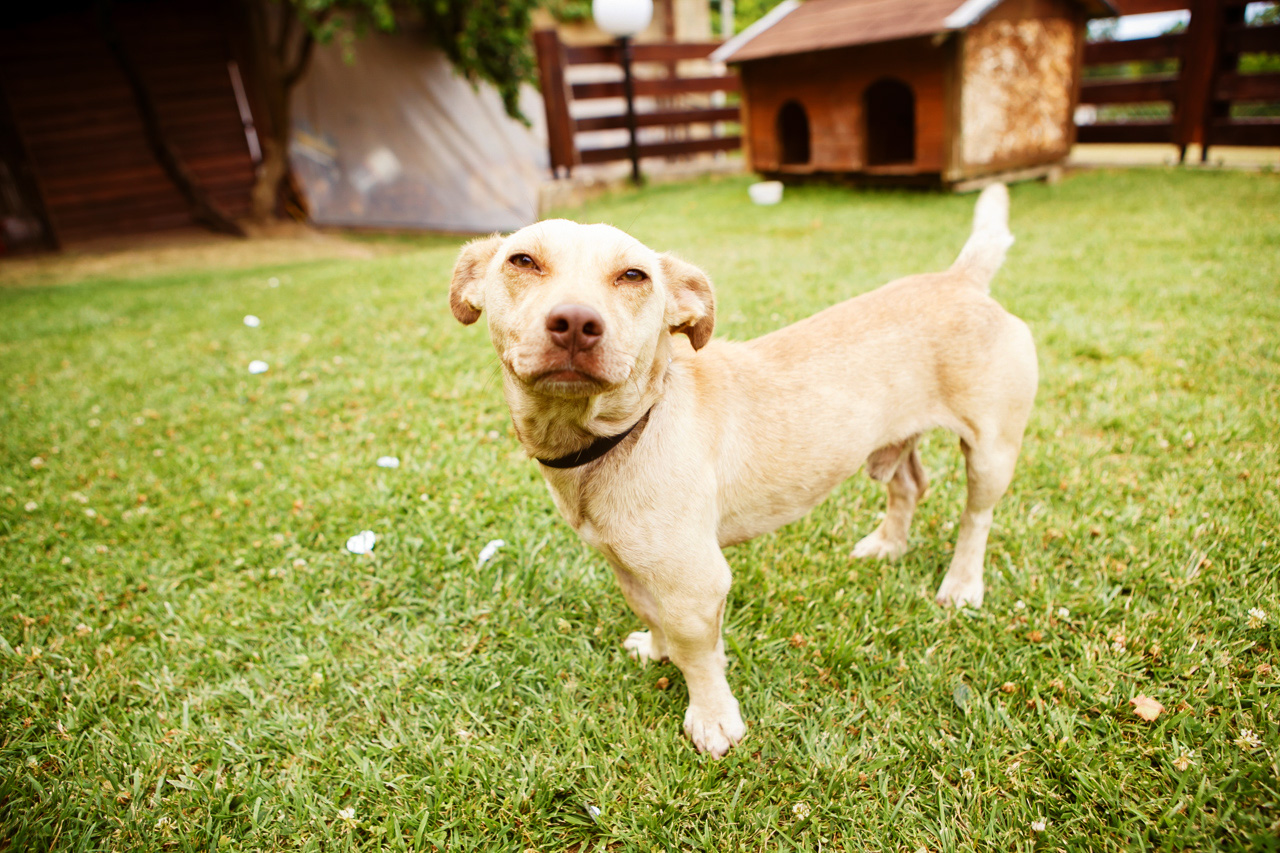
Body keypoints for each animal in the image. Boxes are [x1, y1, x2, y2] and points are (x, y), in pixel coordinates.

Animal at [450, 183, 1039, 753]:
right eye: (523, 261)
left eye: (634, 275)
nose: (575, 321)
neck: (626, 432)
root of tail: (960, 280)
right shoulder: (629, 566)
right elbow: (652, 614)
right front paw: (656, 649)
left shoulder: (695, 582)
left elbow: (697, 652)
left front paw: (712, 718)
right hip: (889, 442)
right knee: (910, 485)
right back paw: (888, 544)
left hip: (991, 453)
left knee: (976, 518)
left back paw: (961, 584)